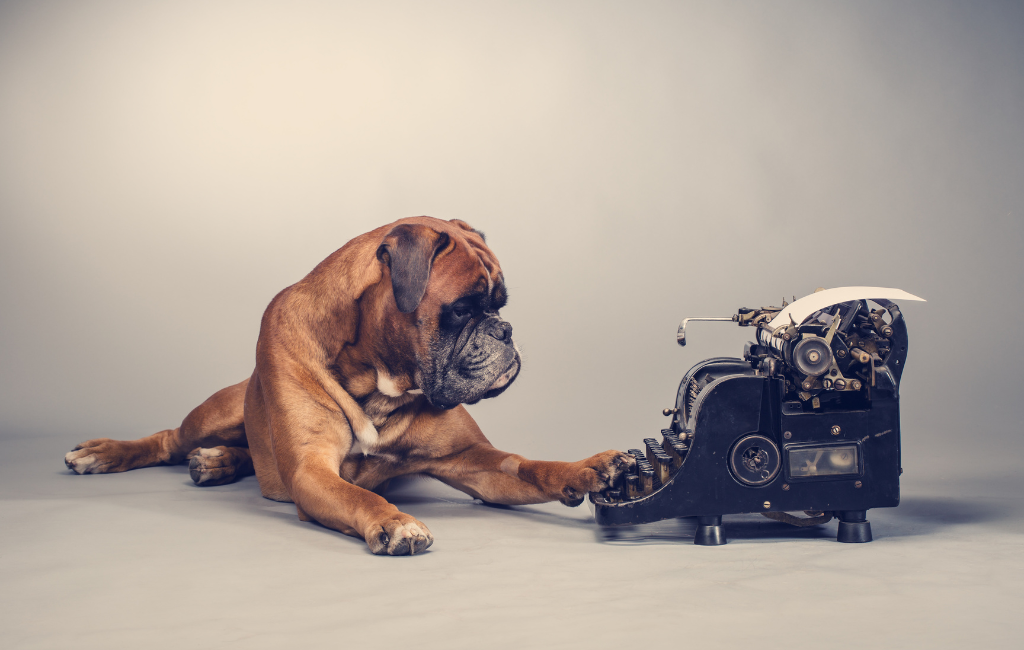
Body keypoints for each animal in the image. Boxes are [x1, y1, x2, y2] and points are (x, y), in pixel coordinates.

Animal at [64, 217, 630, 552]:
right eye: (462, 309)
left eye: (500, 304)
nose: (505, 331)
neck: (377, 379)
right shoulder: (312, 471)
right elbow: (358, 497)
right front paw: (396, 521)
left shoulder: (475, 463)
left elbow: (531, 466)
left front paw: (590, 468)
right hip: (216, 412)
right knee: (169, 441)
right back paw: (106, 453)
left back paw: (219, 461)